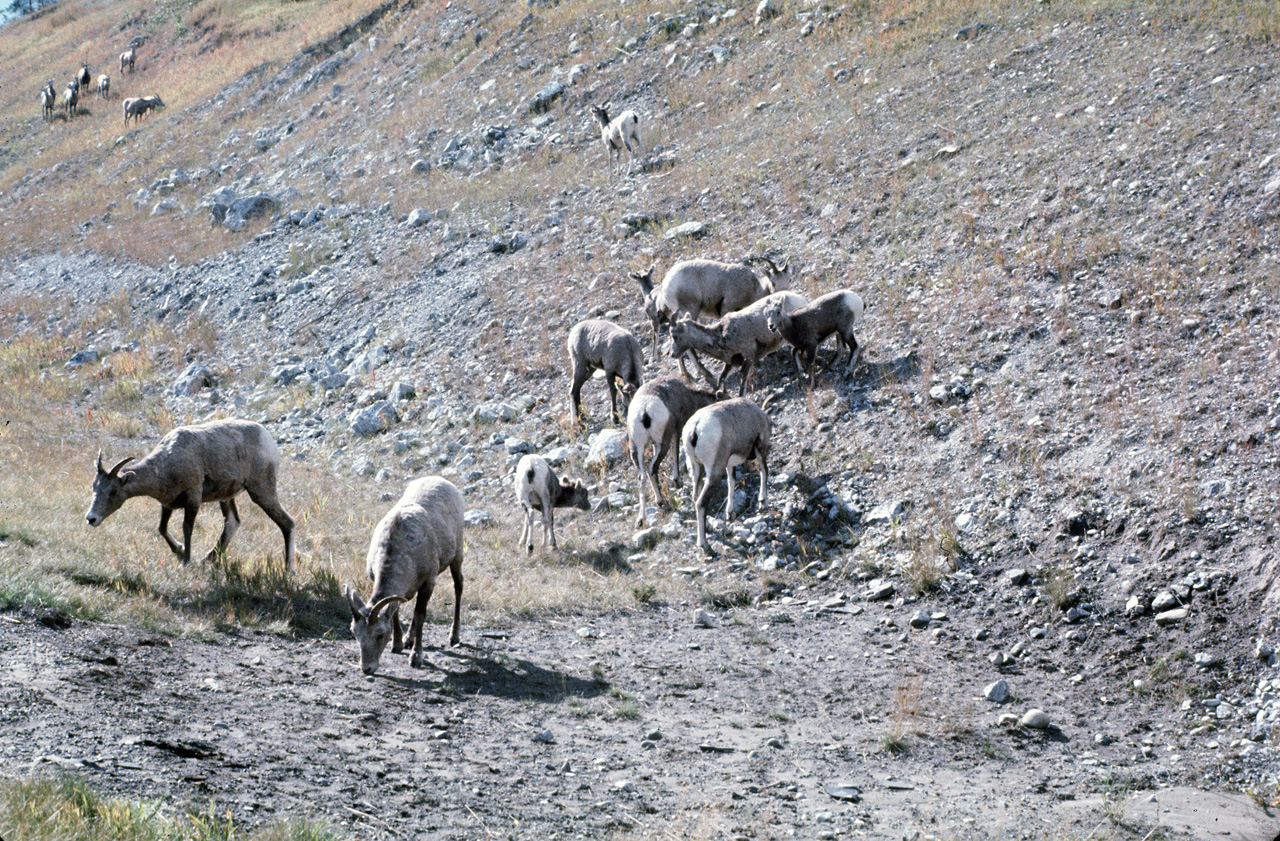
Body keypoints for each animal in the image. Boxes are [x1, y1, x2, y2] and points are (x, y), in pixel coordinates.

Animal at [86, 417, 295, 570]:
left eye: (113, 491)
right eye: (94, 487)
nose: (91, 519)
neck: (167, 463)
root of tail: (269, 441)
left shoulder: (193, 499)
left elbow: (187, 528)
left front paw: (186, 561)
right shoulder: (167, 503)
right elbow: (161, 528)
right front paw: (179, 551)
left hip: (261, 491)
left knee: (287, 523)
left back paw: (288, 569)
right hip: (227, 496)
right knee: (232, 522)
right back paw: (208, 559)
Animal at [345, 476, 465, 670]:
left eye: (379, 634)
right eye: (355, 633)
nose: (367, 668)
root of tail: (443, 481)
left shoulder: (428, 583)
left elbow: (420, 614)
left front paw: (416, 657)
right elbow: (396, 611)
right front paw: (398, 645)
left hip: (457, 555)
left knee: (458, 586)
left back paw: (454, 637)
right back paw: (409, 639)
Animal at [627, 376, 721, 524]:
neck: (688, 395)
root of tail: (645, 410)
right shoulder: (678, 428)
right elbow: (676, 450)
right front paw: (677, 481)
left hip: (637, 448)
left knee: (642, 476)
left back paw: (641, 519)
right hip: (662, 443)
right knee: (652, 469)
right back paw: (660, 501)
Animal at [665, 289, 803, 394]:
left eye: (674, 336)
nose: (672, 354)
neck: (721, 336)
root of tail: (799, 298)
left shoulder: (748, 358)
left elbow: (742, 387)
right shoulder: (732, 363)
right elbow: (721, 378)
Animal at [680, 396, 768, 547]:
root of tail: (695, 429)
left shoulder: (730, 464)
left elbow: (731, 483)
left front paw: (730, 513)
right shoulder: (760, 447)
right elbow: (764, 471)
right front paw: (762, 503)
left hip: (697, 468)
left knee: (696, 496)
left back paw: (708, 529)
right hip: (714, 473)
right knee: (701, 502)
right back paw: (703, 544)